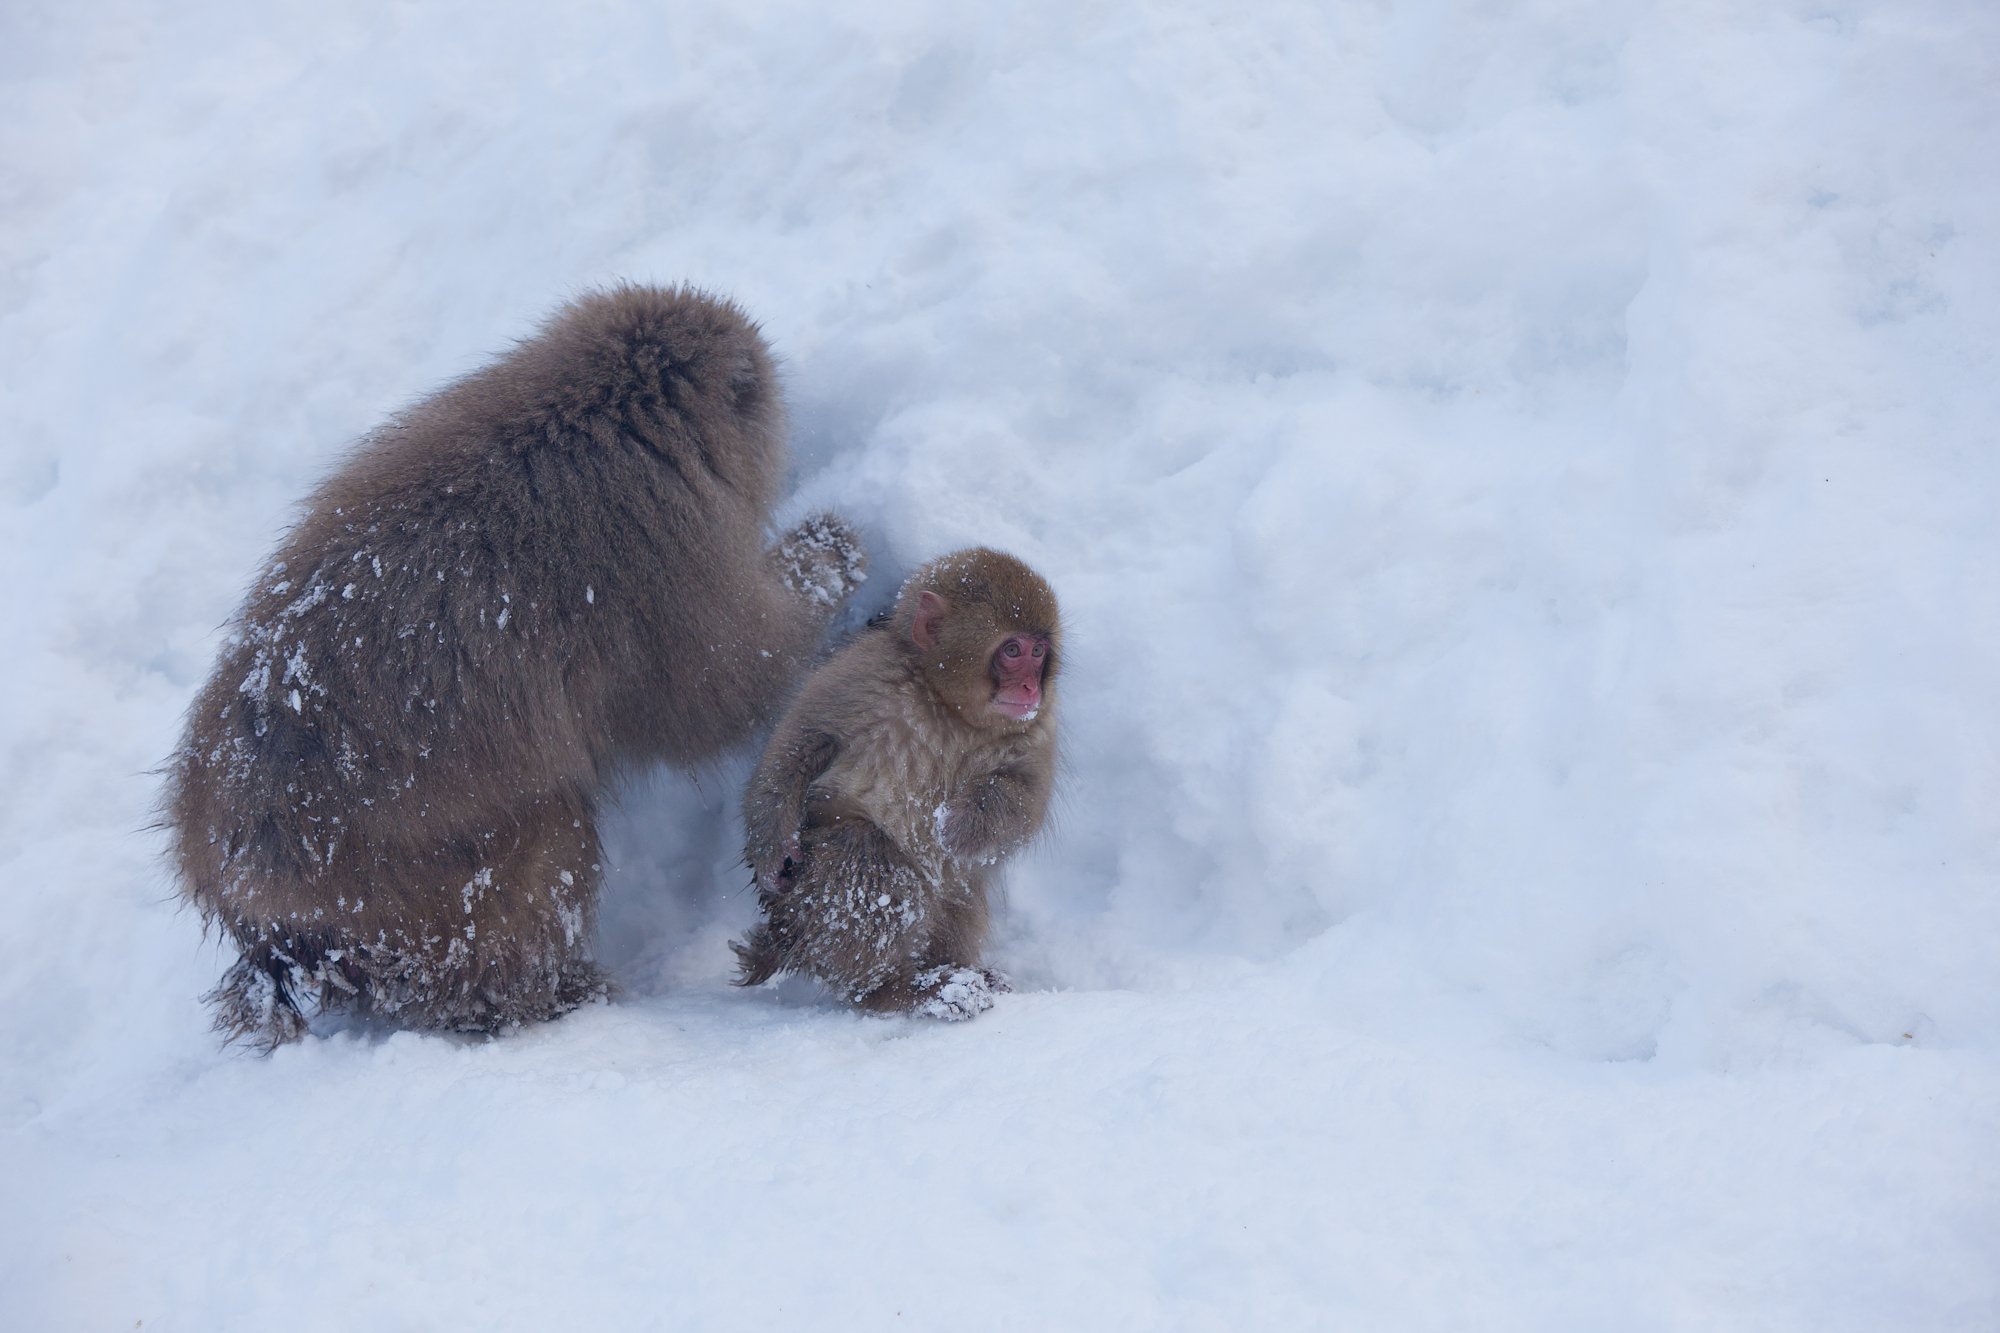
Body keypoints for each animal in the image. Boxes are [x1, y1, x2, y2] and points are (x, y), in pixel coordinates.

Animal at [163, 284, 867, 1050]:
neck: (605, 414)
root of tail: (235, 887)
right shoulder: (666, 547)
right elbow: (725, 684)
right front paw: (830, 552)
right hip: (401, 875)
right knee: (538, 856)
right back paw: (541, 997)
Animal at [733, 548, 1060, 1020]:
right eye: (1012, 650)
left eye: (1039, 651)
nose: (1031, 687)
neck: (948, 707)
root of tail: (785, 933)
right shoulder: (863, 674)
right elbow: (800, 743)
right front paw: (771, 849)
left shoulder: (1036, 730)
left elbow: (1023, 799)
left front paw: (961, 827)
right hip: (806, 898)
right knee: (866, 853)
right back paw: (892, 989)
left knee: (960, 888)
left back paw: (951, 976)